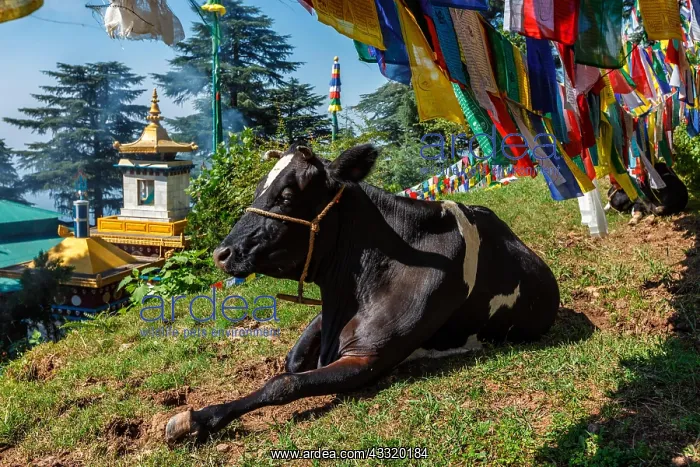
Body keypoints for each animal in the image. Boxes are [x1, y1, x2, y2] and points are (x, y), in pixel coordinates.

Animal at [165, 143, 560, 443]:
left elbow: (283, 384)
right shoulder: (325, 318)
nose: (222, 253)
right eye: (260, 188)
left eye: (287, 196)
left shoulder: (367, 357)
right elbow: (292, 362)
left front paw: (197, 419)